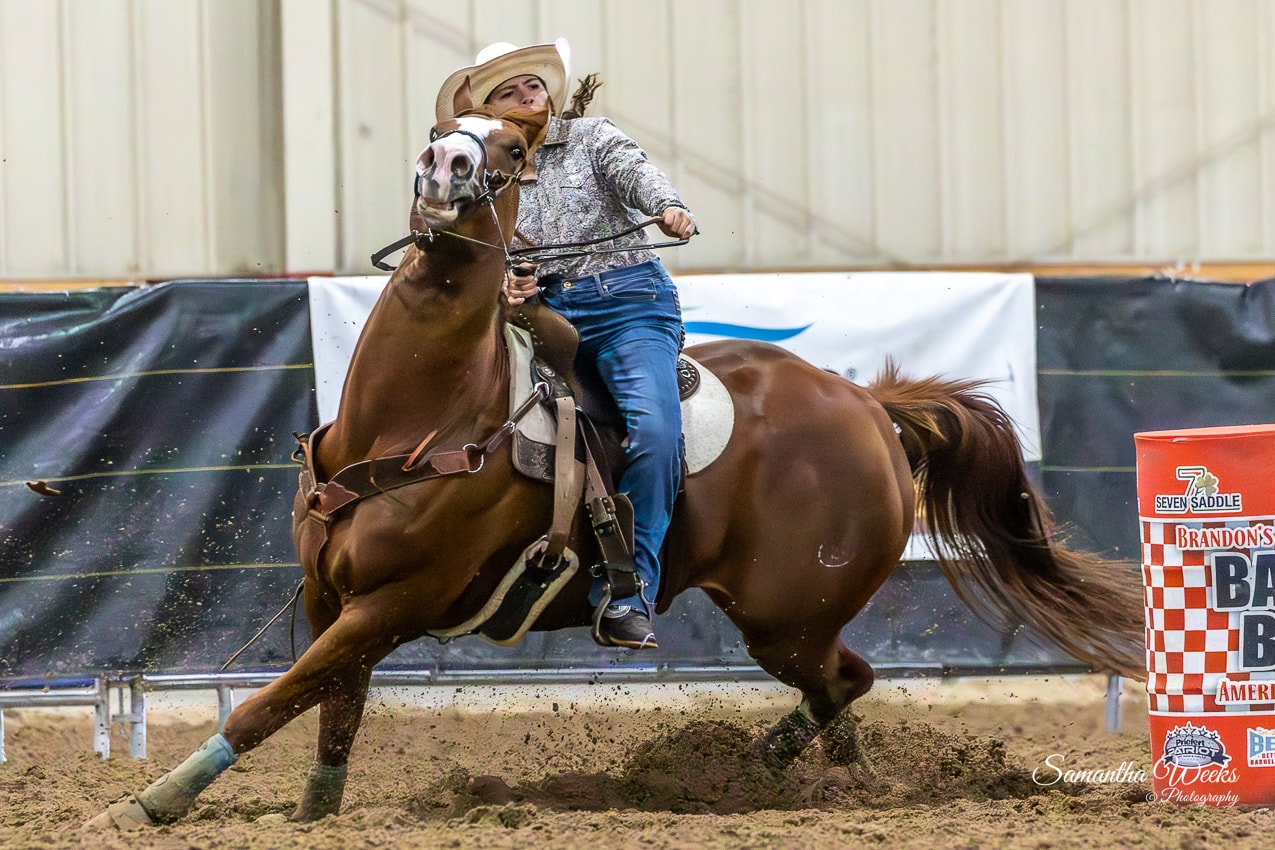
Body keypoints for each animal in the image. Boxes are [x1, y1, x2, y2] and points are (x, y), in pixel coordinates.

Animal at [87, 100, 1146, 830]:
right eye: (440, 127)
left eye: (507, 150)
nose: (443, 164)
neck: (414, 418)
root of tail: (868, 411)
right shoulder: (328, 597)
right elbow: (329, 706)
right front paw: (312, 810)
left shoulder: (392, 603)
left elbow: (275, 699)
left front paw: (149, 802)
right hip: (789, 622)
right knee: (840, 691)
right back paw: (801, 779)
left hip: (785, 615)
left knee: (843, 679)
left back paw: (754, 772)